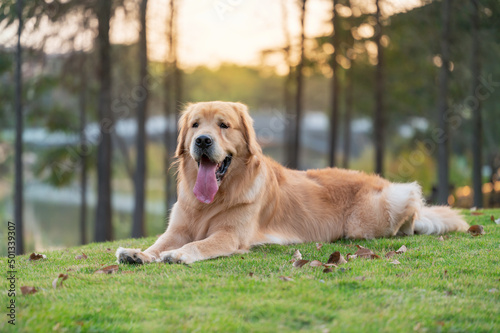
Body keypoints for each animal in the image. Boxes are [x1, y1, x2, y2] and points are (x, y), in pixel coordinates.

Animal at [115, 100, 466, 264]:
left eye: (224, 125)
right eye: (195, 125)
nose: (202, 141)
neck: (216, 198)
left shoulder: (230, 236)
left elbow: (200, 243)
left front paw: (180, 255)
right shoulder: (177, 229)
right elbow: (159, 243)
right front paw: (138, 253)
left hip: (380, 211)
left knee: (412, 210)